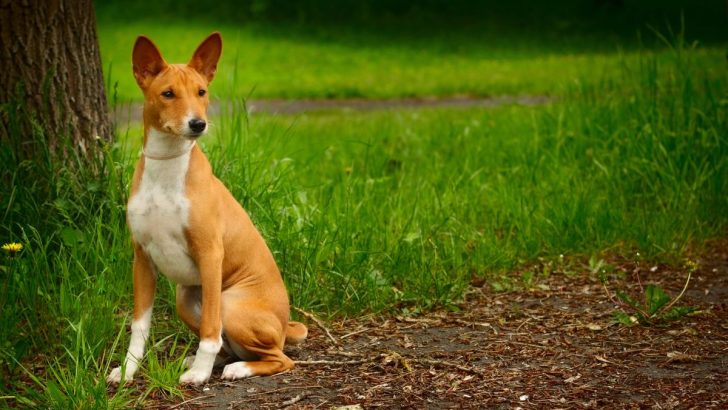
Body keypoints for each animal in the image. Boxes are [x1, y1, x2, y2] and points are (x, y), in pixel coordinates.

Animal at [106, 32, 306, 388]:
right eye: (168, 93)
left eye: (201, 92)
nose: (198, 124)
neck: (167, 168)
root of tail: (286, 325)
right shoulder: (142, 258)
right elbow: (139, 326)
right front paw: (128, 370)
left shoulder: (210, 254)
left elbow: (211, 330)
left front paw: (199, 374)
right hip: (184, 300)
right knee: (232, 345)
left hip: (230, 303)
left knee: (279, 358)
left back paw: (235, 368)